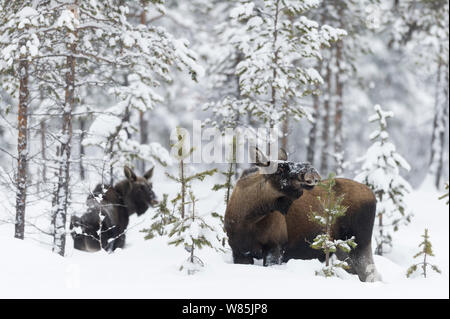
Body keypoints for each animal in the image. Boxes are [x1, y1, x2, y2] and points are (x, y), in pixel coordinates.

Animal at [223, 149, 382, 284]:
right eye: (279, 169)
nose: (311, 172)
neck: (248, 217)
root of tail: (373, 196)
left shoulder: (275, 247)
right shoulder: (239, 251)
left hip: (359, 243)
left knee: (371, 275)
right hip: (343, 248)